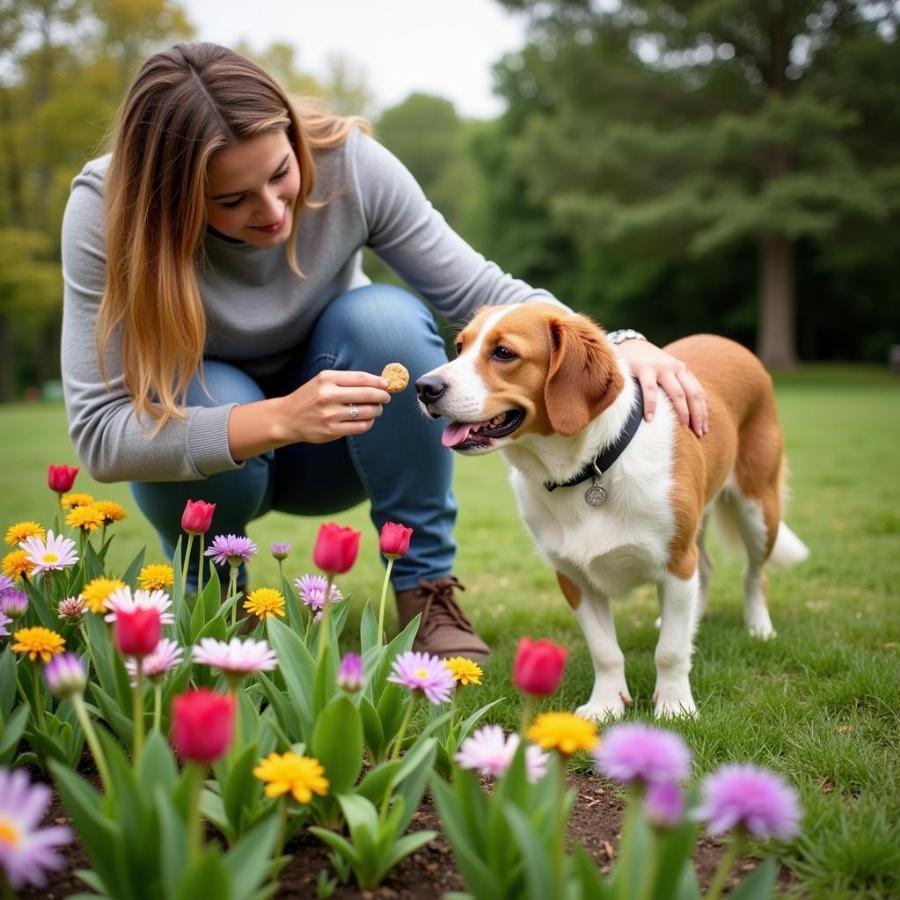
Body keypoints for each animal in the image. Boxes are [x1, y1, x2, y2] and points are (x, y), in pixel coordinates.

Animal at [414, 302, 808, 716]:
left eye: (504, 353)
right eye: (460, 347)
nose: (424, 387)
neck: (589, 470)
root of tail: (726, 342)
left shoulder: (676, 562)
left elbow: (669, 651)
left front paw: (675, 705)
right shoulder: (573, 576)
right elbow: (605, 651)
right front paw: (606, 704)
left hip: (758, 511)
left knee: (754, 574)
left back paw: (758, 627)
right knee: (706, 571)